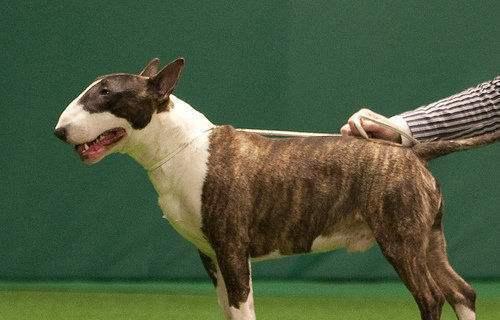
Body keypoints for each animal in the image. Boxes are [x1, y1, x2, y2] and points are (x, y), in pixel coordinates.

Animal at [54, 58, 496, 320]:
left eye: (106, 93)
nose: (59, 131)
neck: (180, 147)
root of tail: (413, 152)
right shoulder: (210, 256)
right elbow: (228, 310)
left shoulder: (232, 248)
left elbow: (242, 308)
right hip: (428, 239)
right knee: (462, 292)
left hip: (400, 240)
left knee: (432, 297)